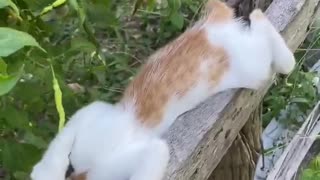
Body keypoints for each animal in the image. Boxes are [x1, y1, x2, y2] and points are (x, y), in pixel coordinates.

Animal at [30, 0, 296, 179]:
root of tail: (214, 24)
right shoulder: (94, 113)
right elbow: (59, 143)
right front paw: (45, 171)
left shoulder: (125, 157)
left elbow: (152, 158)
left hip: (253, 65)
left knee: (285, 61)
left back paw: (259, 17)